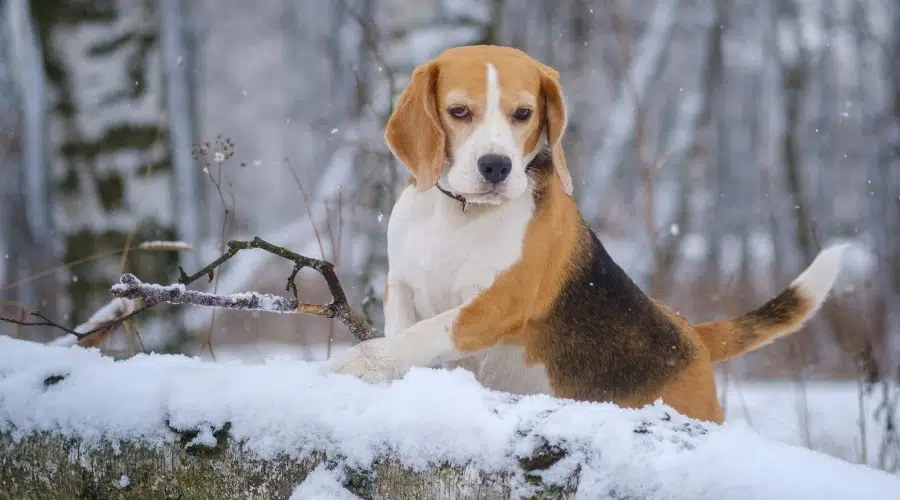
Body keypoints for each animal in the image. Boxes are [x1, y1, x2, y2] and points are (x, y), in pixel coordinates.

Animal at [328, 46, 844, 422]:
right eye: (458, 111)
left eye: (523, 114)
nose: (496, 166)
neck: (460, 213)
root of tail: (690, 333)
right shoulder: (401, 283)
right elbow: (405, 327)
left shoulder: (497, 303)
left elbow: (430, 330)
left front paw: (363, 361)